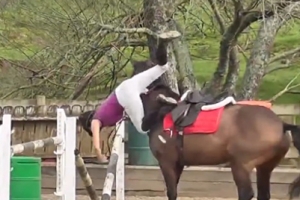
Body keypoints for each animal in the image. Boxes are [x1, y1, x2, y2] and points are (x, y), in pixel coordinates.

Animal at [134, 77, 300, 200]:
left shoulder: (166, 163)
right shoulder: (178, 164)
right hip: (265, 167)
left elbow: (172, 192)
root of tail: (281, 123)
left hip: (241, 165)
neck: (163, 113)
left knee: (246, 193)